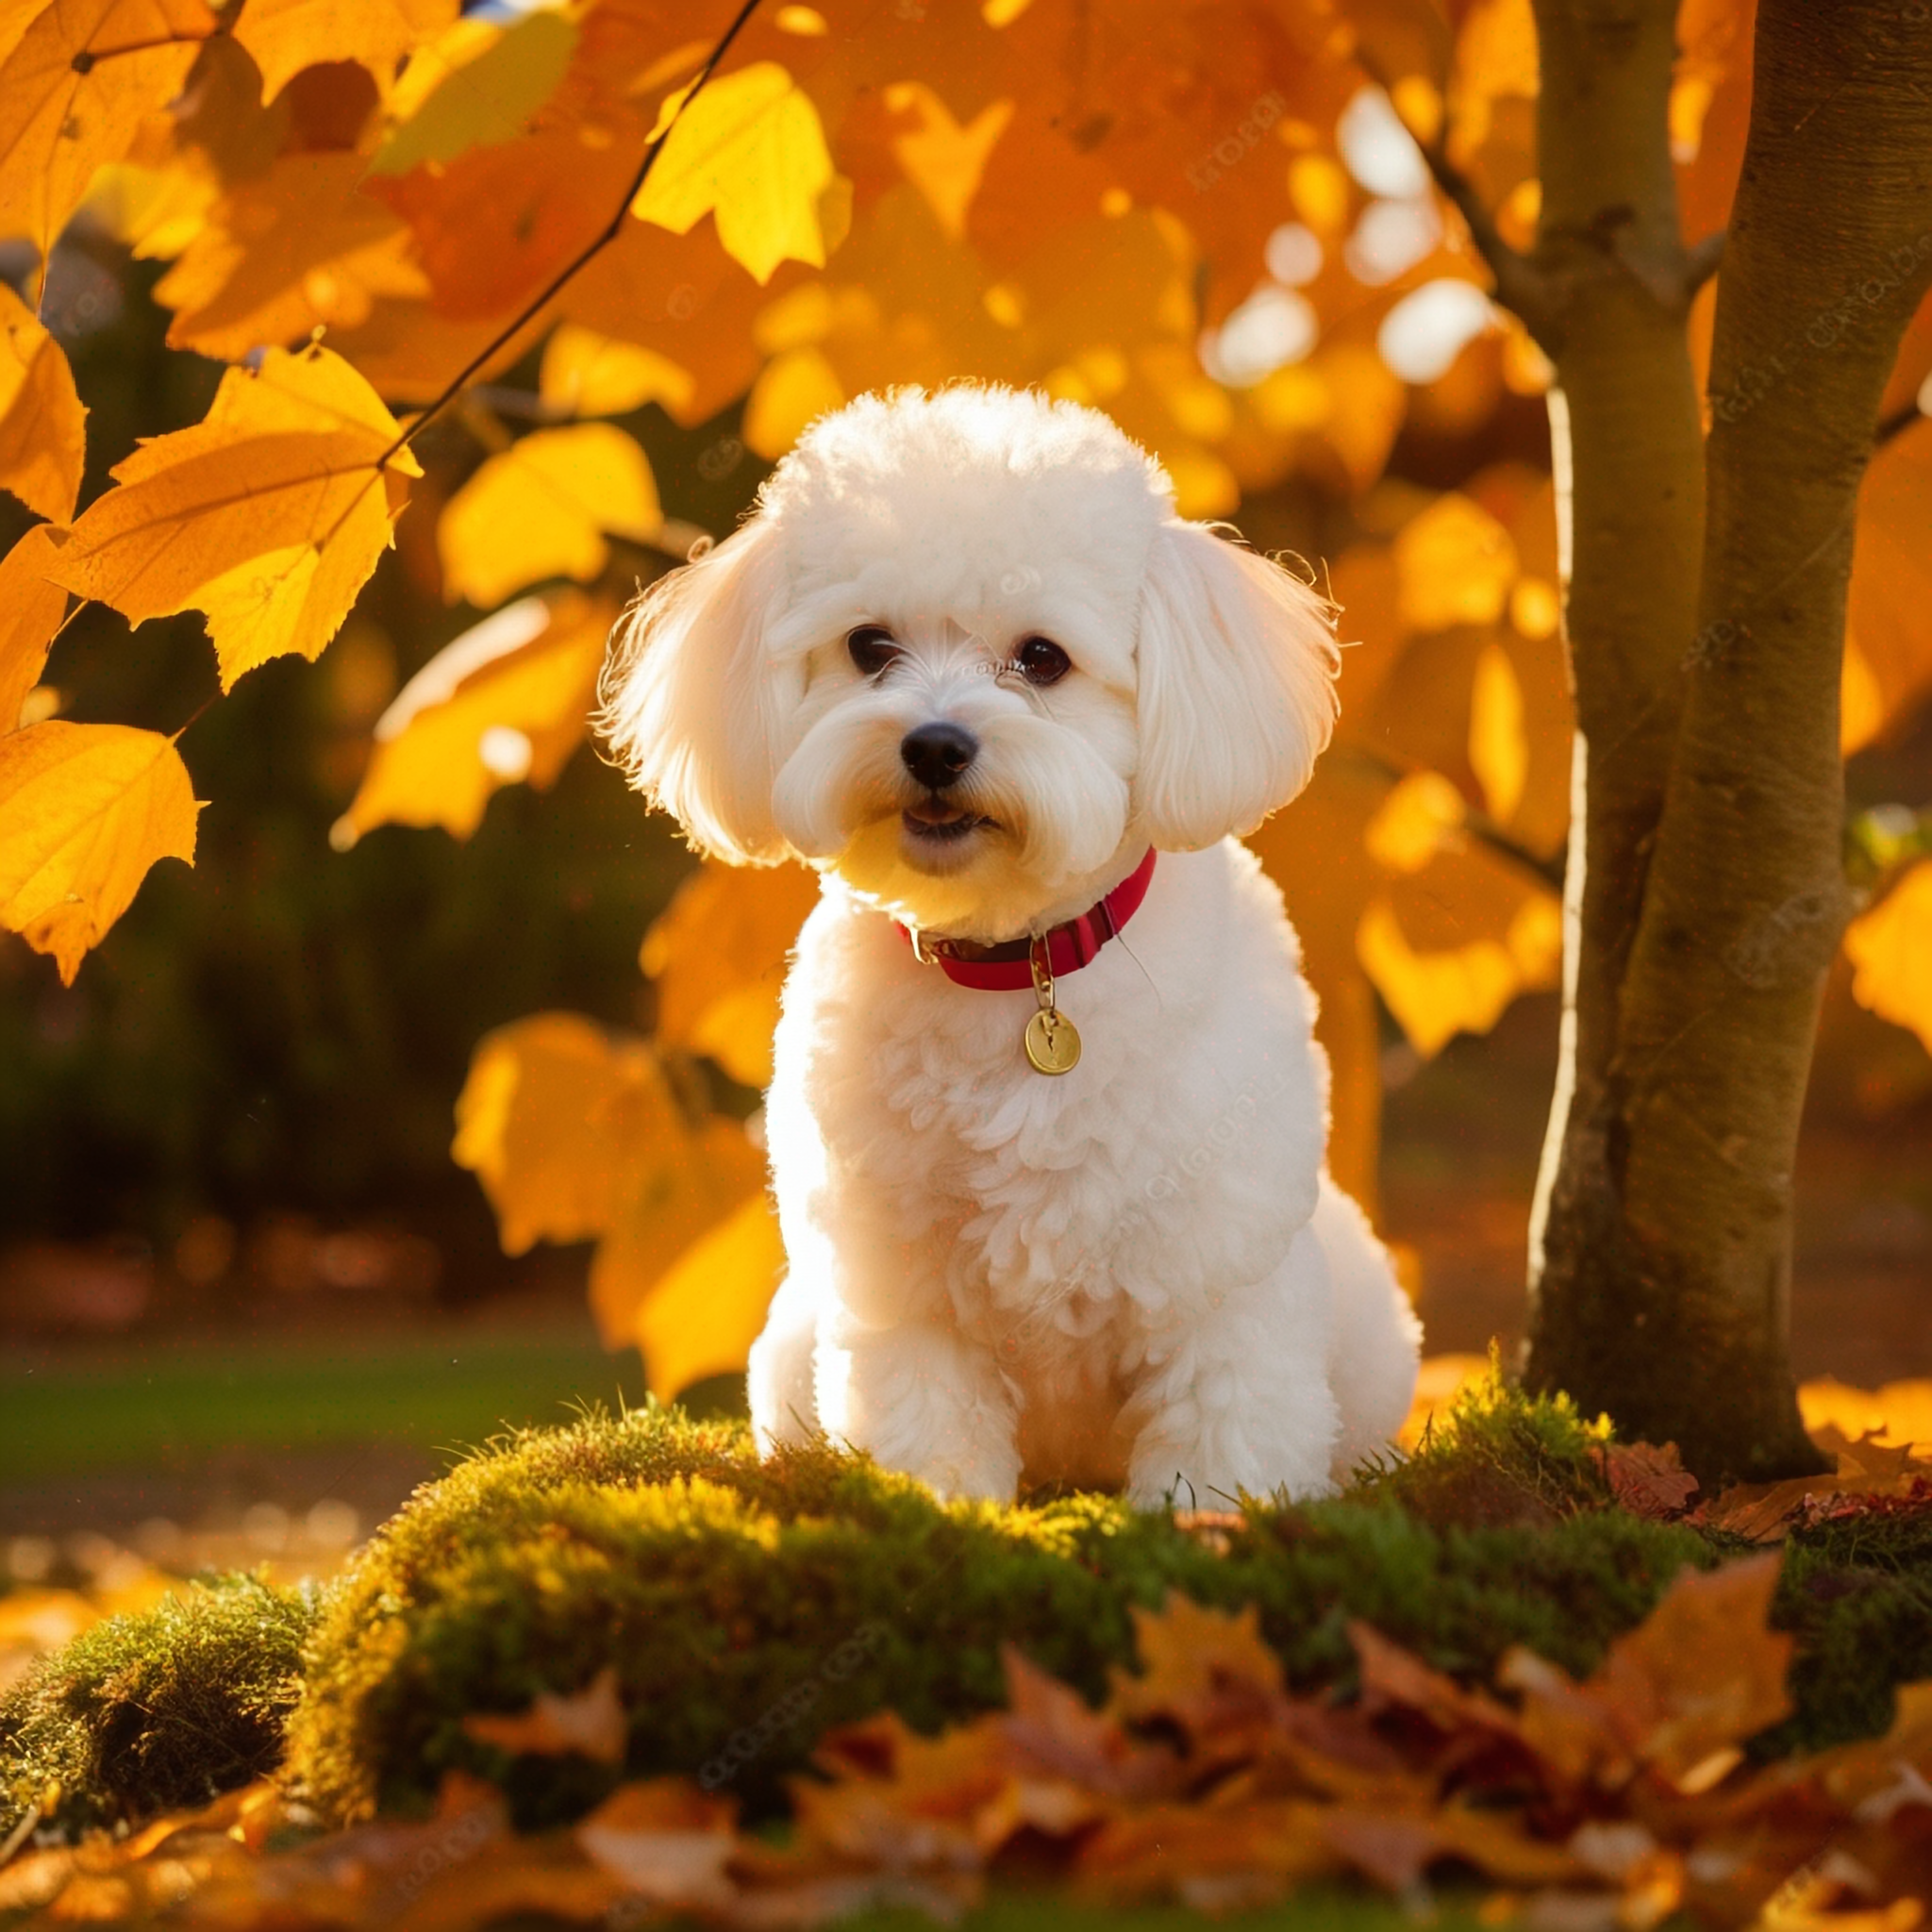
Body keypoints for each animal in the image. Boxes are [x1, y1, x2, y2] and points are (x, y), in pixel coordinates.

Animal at [598, 384, 1422, 1499]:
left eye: (1041, 657)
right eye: (869, 647)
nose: (935, 745)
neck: (1014, 964)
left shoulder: (1219, 1275)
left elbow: (1219, 1429)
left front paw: (1211, 1514)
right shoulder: (901, 1292)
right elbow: (928, 1429)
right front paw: (939, 1504)